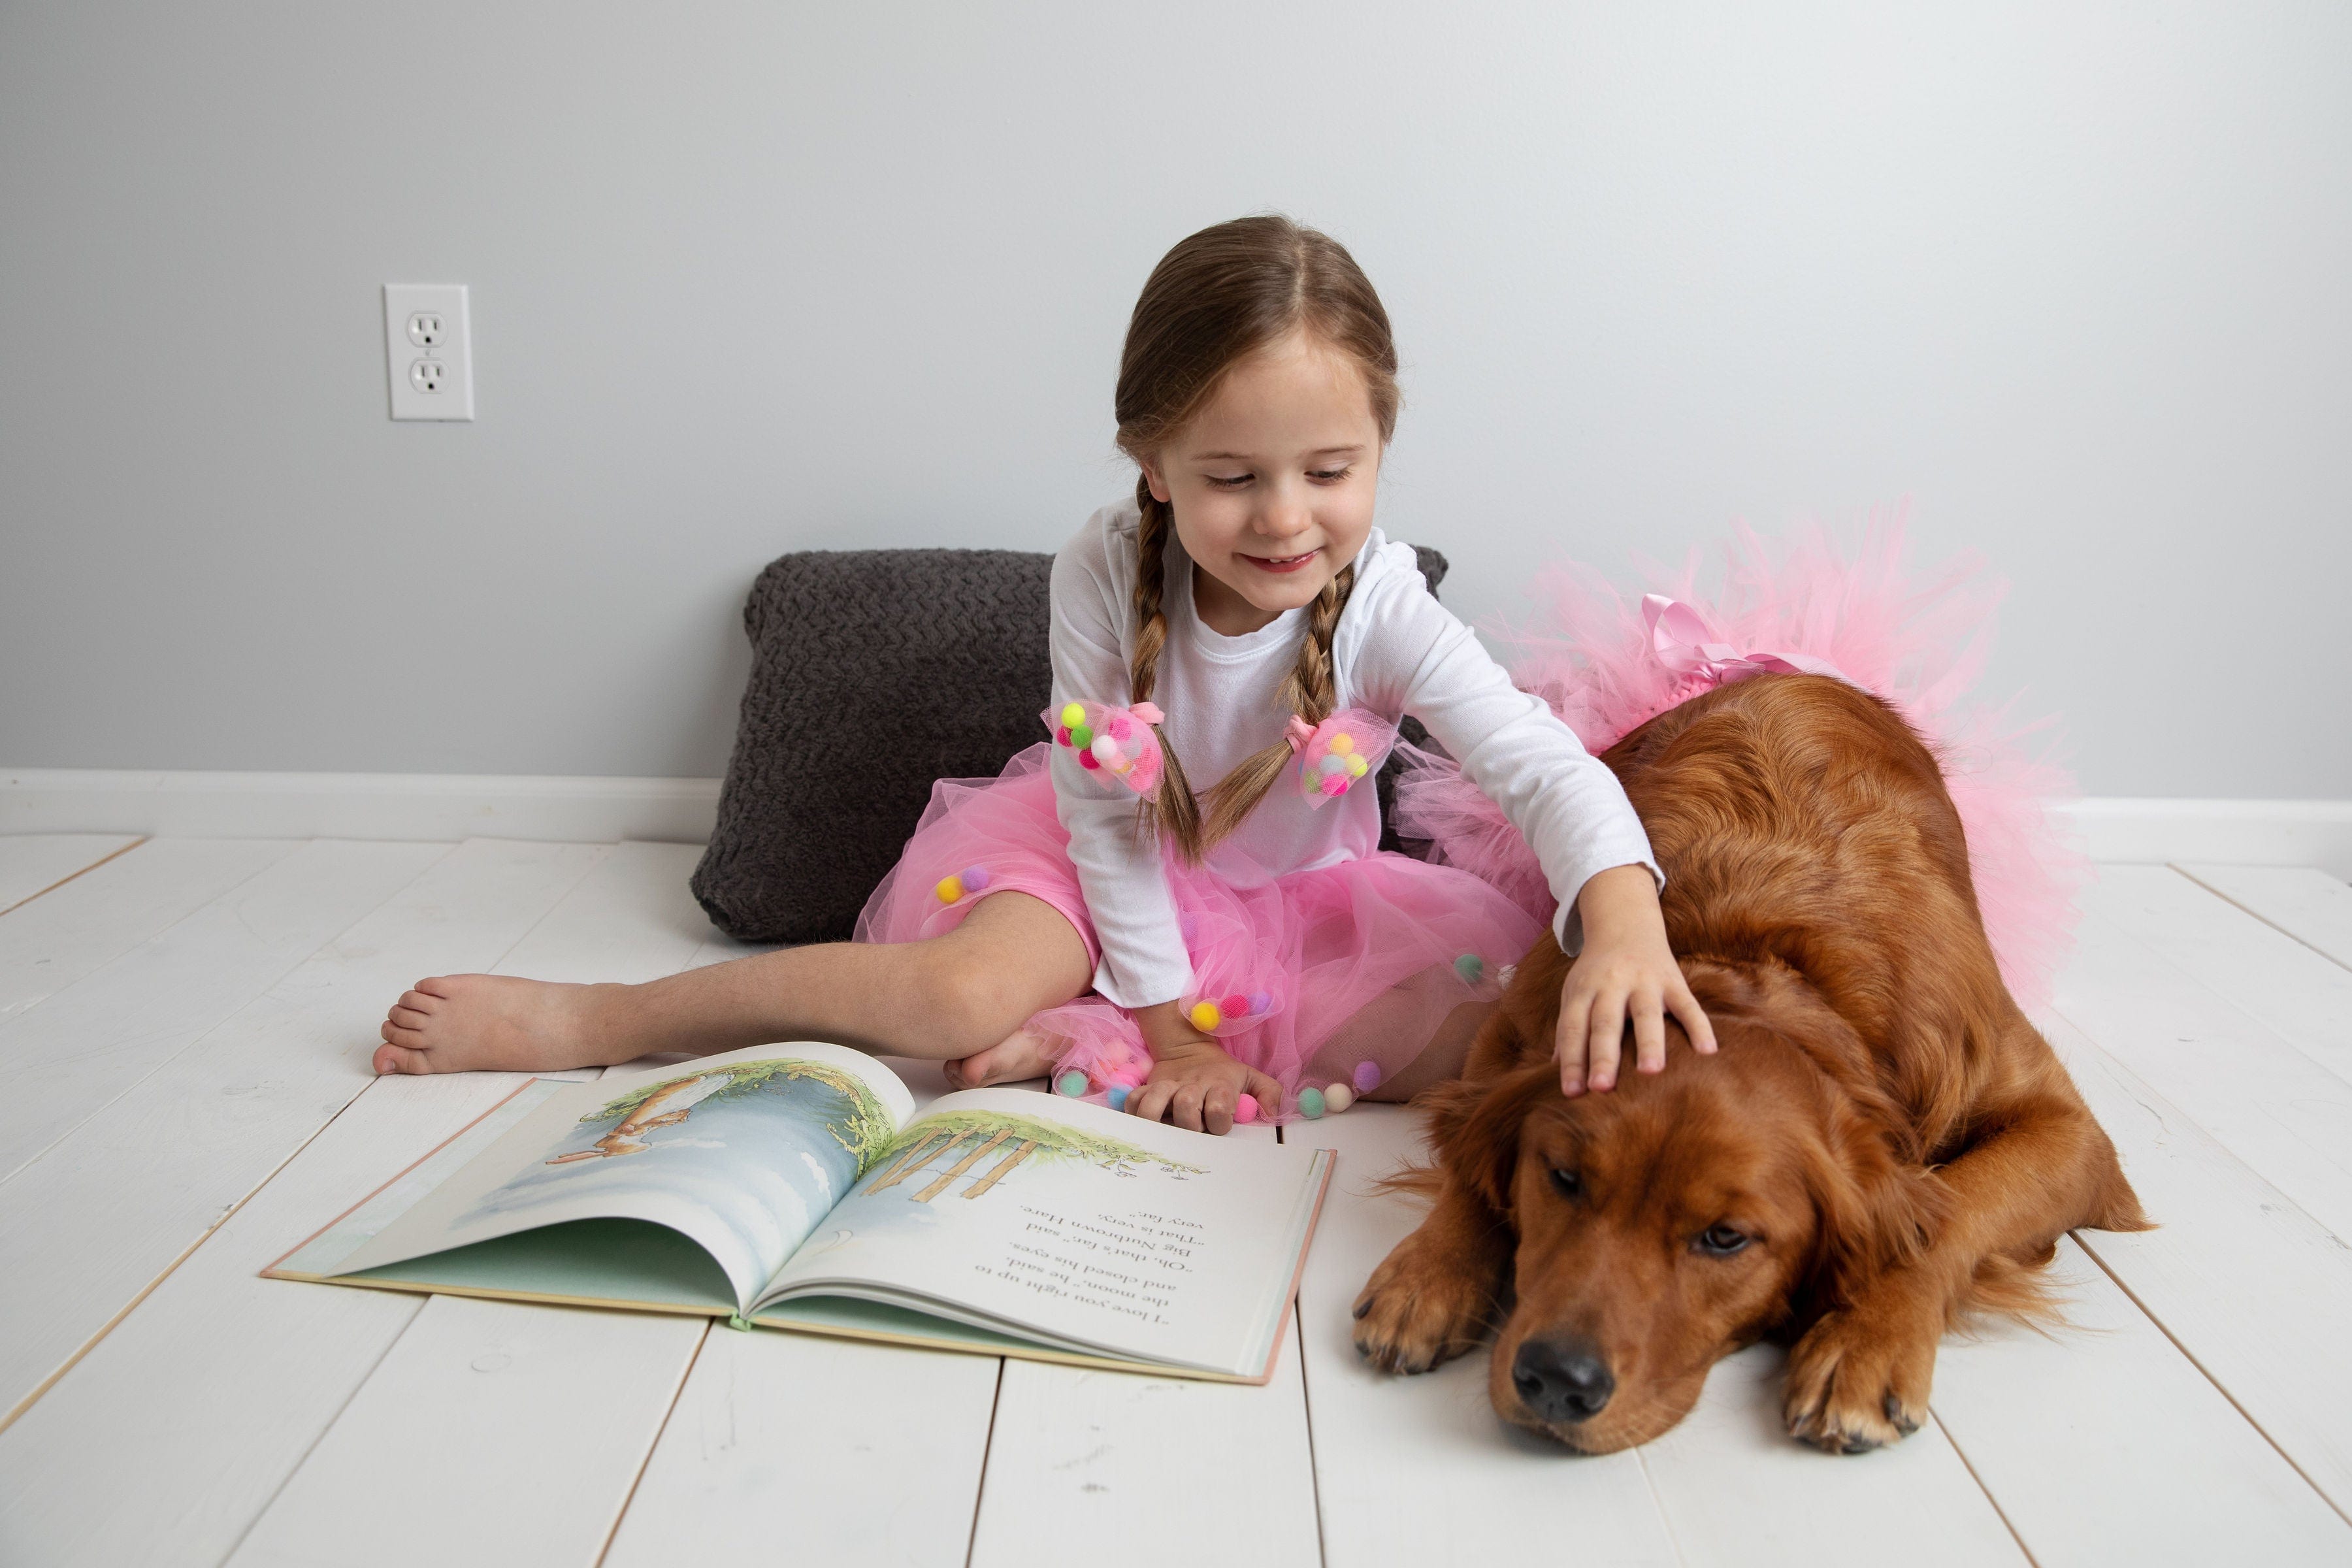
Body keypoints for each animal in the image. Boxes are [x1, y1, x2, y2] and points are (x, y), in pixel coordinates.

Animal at [1354, 677, 2145, 1457]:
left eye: (1726, 1238)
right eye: (1564, 1179)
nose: (1556, 1380)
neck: (1763, 959)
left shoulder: (2068, 1129)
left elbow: (1952, 1209)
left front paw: (1866, 1340)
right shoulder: (1518, 1019)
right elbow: (1472, 1136)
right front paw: (1431, 1273)